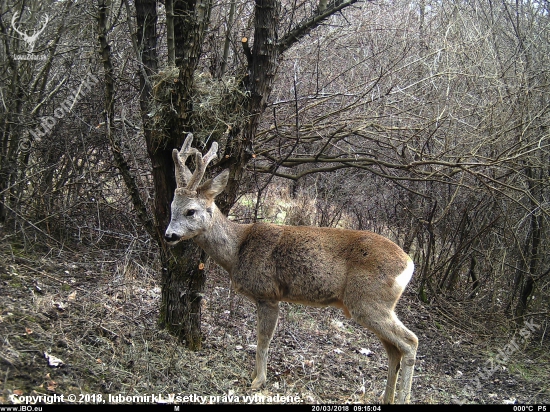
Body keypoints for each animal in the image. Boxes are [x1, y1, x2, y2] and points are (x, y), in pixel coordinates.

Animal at [166, 134, 420, 402]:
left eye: (190, 211)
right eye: (171, 207)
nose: (169, 235)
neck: (237, 250)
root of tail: (409, 263)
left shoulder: (267, 293)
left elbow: (263, 340)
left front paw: (258, 381)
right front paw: (256, 377)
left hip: (368, 300)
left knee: (410, 341)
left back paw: (402, 397)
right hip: (376, 305)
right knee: (394, 350)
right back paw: (387, 398)